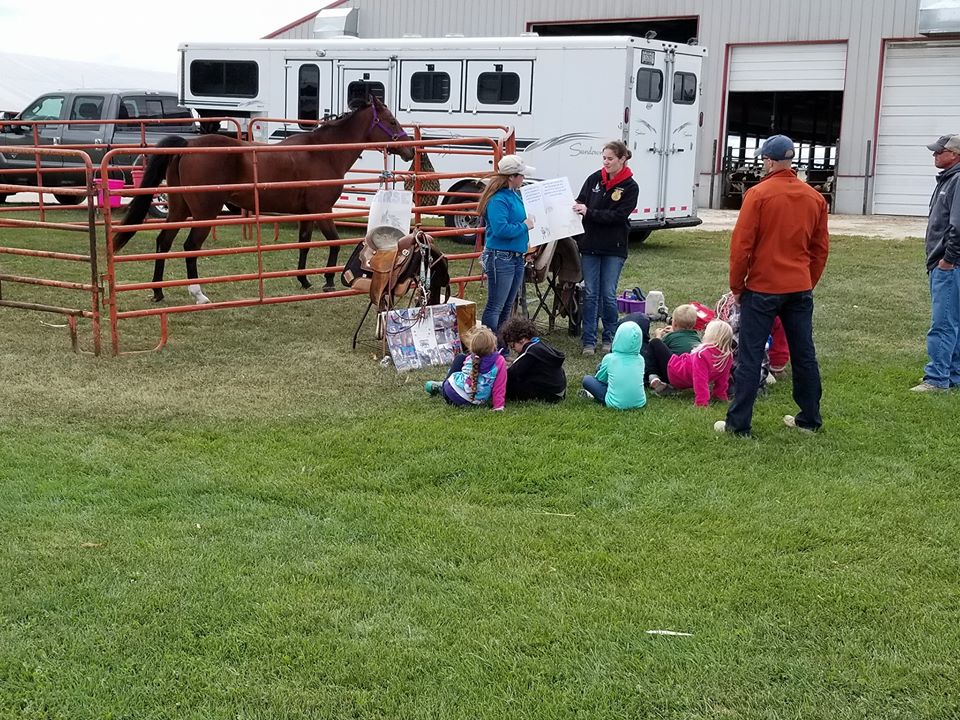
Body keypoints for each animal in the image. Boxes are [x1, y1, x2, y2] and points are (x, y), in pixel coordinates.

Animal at [112, 95, 412, 300]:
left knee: (163, 241)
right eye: (391, 121)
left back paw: (158, 291)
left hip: (178, 209)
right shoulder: (323, 209)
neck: (322, 152)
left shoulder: (307, 213)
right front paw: (328, 280)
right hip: (204, 213)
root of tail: (188, 144)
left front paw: (304, 280)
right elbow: (334, 242)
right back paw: (198, 294)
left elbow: (305, 243)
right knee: (189, 247)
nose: (409, 150)